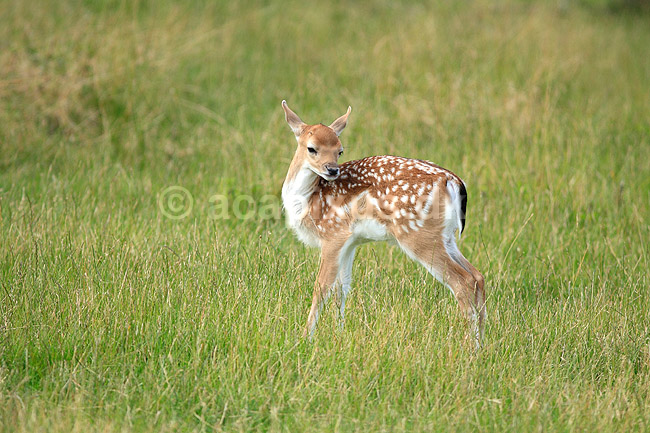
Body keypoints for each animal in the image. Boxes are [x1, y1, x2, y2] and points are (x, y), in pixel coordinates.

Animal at [280, 100, 486, 348]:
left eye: (340, 150)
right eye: (312, 148)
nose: (332, 169)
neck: (309, 198)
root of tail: (453, 181)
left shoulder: (332, 233)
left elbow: (321, 288)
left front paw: (304, 338)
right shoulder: (350, 241)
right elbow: (342, 289)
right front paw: (339, 334)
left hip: (418, 234)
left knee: (463, 281)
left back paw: (470, 347)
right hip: (445, 236)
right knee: (478, 276)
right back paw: (484, 344)